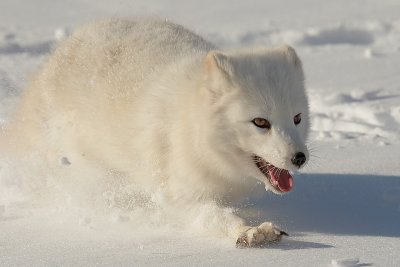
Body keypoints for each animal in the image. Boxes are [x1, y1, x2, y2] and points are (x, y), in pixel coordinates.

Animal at [2, 18, 310, 248]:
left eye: (297, 118)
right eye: (260, 122)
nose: (300, 158)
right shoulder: (176, 193)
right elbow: (213, 216)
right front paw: (247, 231)